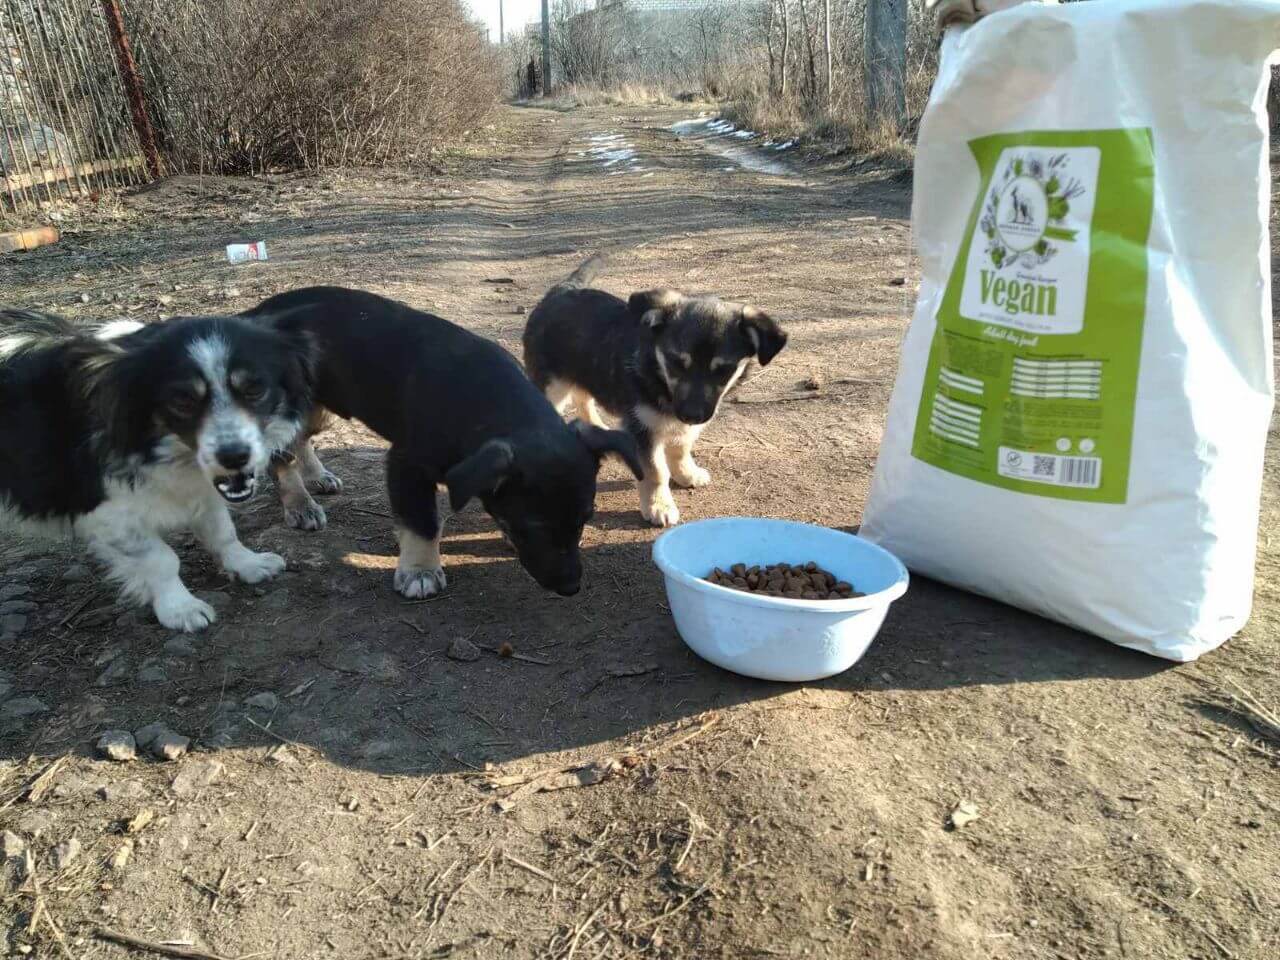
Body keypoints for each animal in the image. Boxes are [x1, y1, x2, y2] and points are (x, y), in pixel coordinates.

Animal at [1, 312, 316, 634]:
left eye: (255, 389)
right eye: (182, 401)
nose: (234, 457)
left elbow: (222, 530)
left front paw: (248, 563)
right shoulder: (108, 512)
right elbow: (160, 559)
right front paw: (180, 608)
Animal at [239, 288, 640, 601]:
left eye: (585, 519)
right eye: (533, 527)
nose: (570, 587)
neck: (483, 400)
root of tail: (258, 314)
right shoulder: (407, 465)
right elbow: (422, 524)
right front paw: (420, 571)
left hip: (324, 407)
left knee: (302, 439)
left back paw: (318, 476)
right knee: (281, 456)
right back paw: (300, 504)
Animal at [522, 256, 783, 527]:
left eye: (724, 370)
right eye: (676, 362)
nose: (692, 415)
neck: (658, 375)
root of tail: (562, 290)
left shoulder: (679, 425)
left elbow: (680, 449)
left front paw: (686, 474)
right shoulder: (644, 429)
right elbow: (656, 471)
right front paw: (658, 505)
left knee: (583, 398)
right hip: (553, 386)